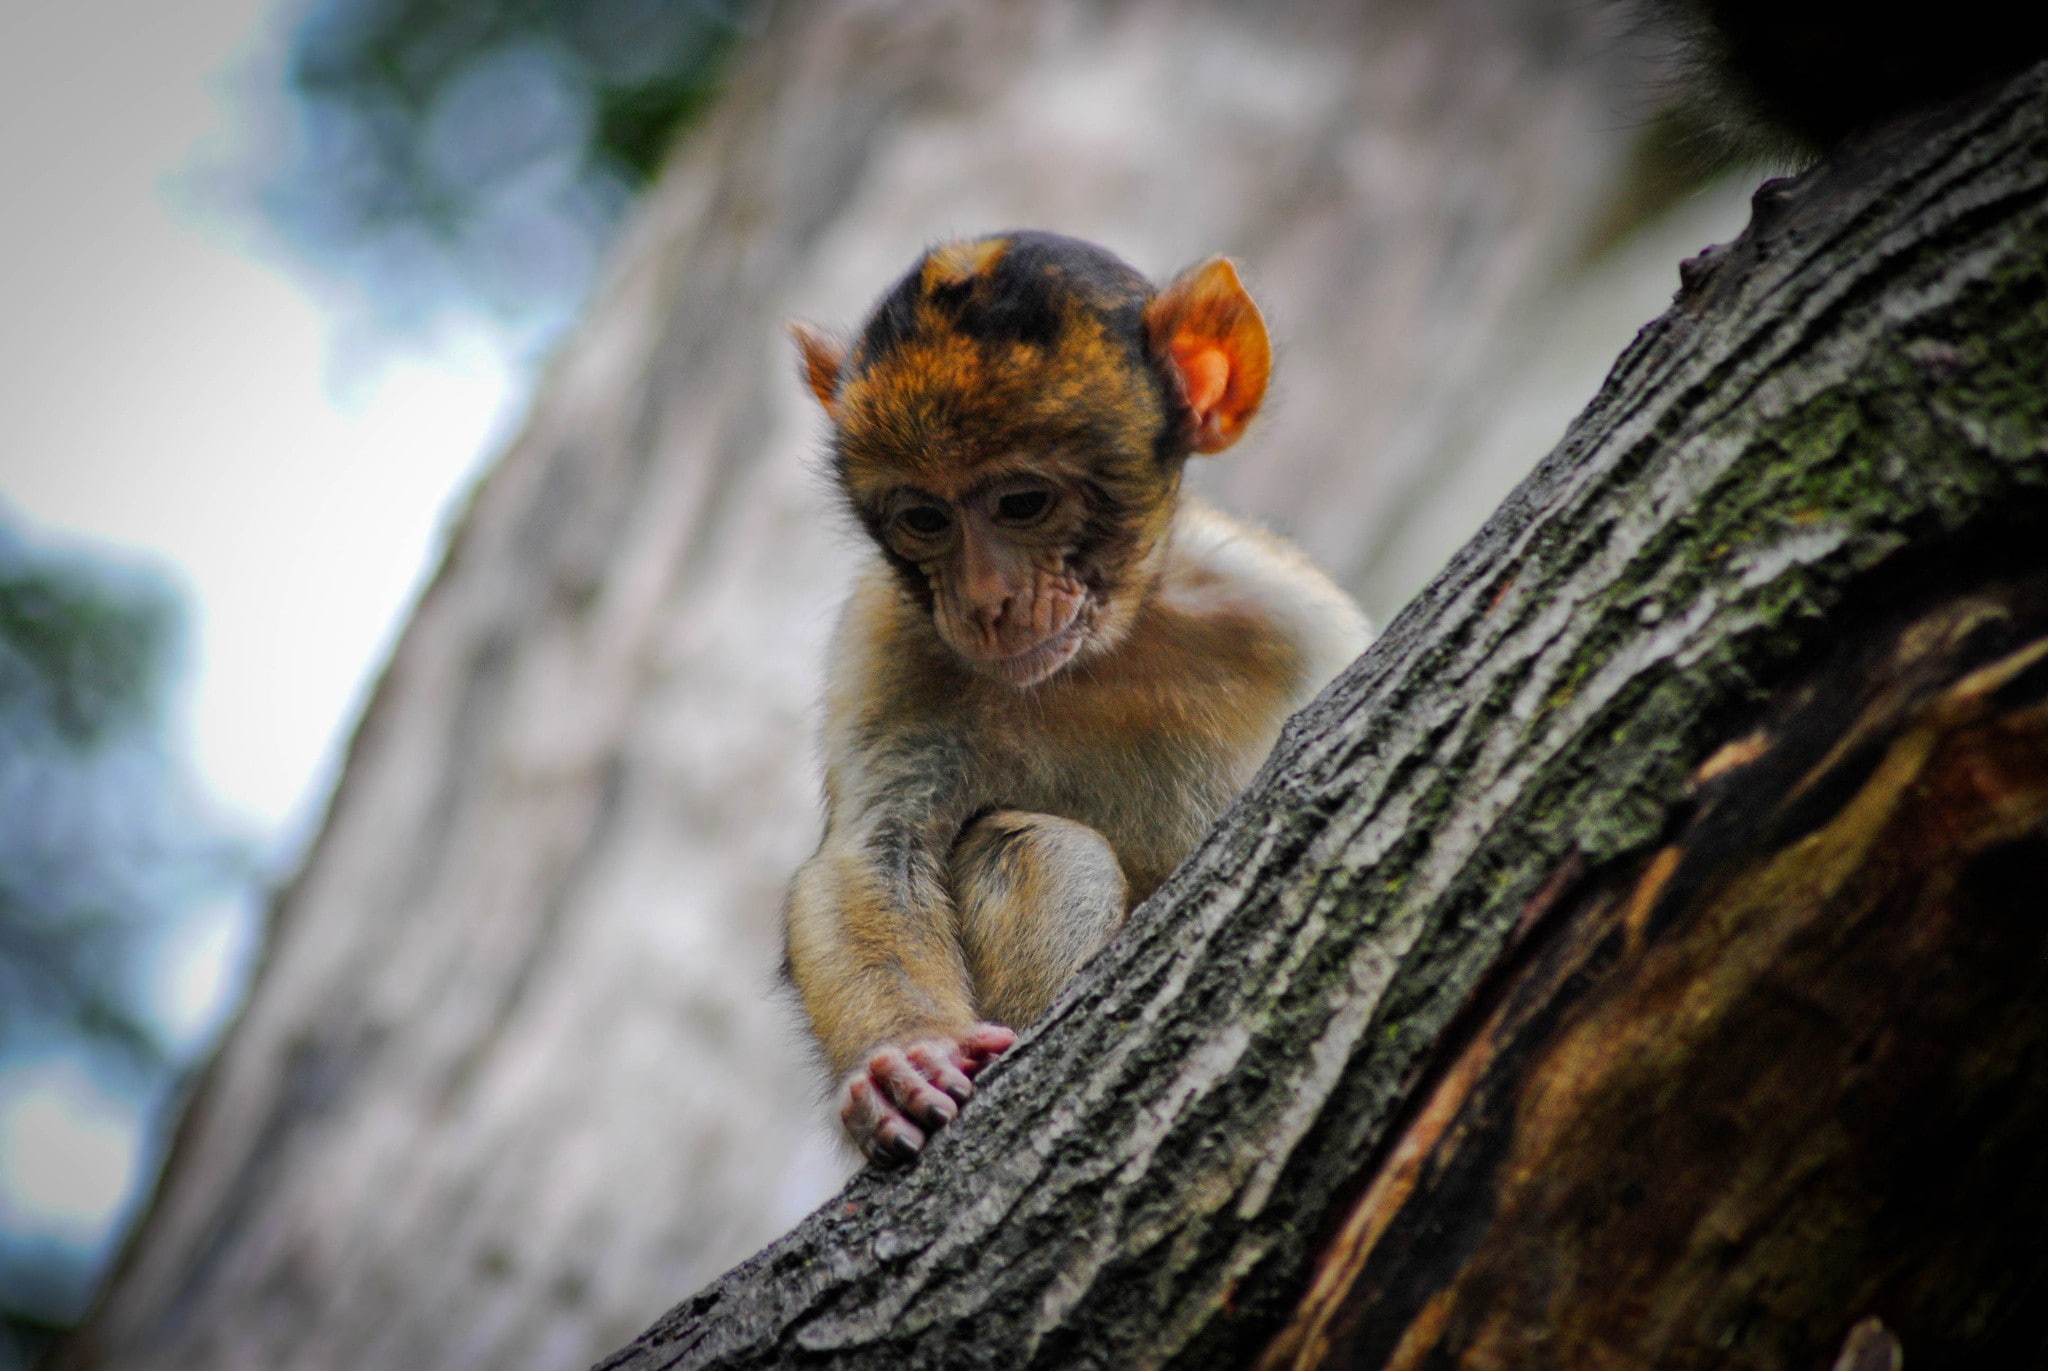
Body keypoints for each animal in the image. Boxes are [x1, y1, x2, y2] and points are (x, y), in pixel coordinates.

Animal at [783, 232, 1369, 1164]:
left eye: (1022, 503)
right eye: (925, 519)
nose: (985, 601)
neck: (1104, 649)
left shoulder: (1292, 613)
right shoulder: (887, 640)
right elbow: (869, 856)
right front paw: (901, 1057)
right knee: (1039, 847)